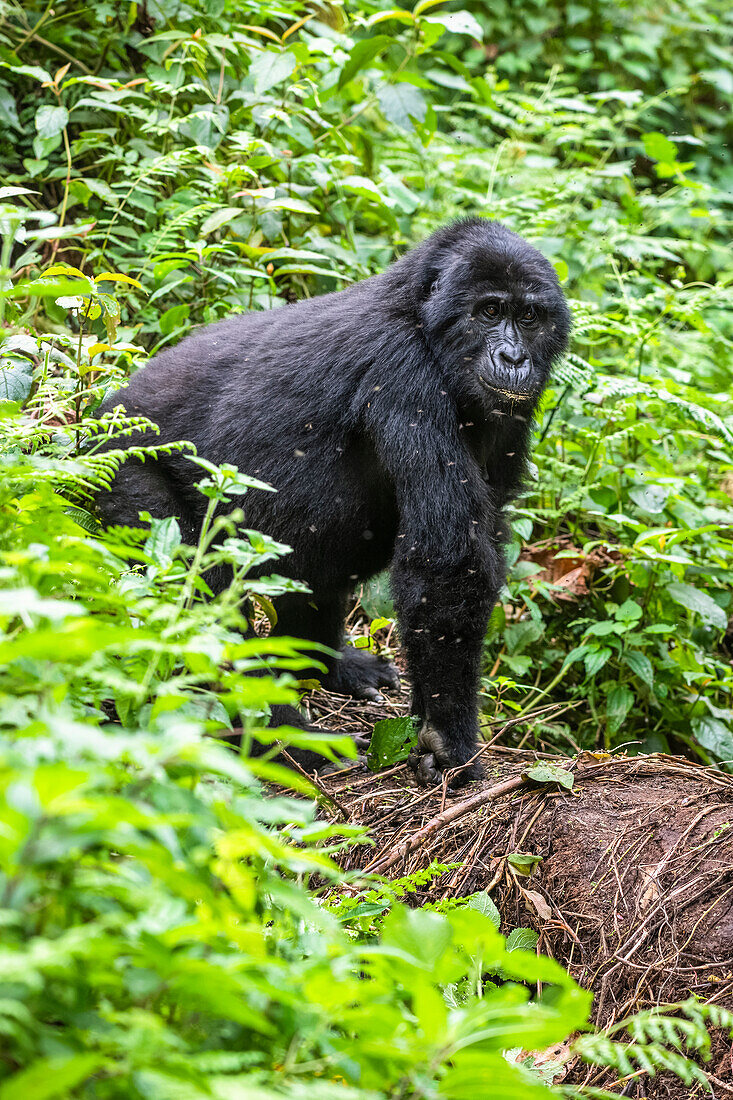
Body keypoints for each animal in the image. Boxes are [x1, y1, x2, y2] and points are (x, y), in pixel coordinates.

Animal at [94, 218, 567, 783]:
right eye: (490, 312)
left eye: (529, 317)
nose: (514, 358)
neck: (421, 315)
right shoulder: (405, 371)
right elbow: (449, 563)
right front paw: (449, 737)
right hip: (124, 472)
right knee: (196, 595)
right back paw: (281, 739)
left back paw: (327, 665)